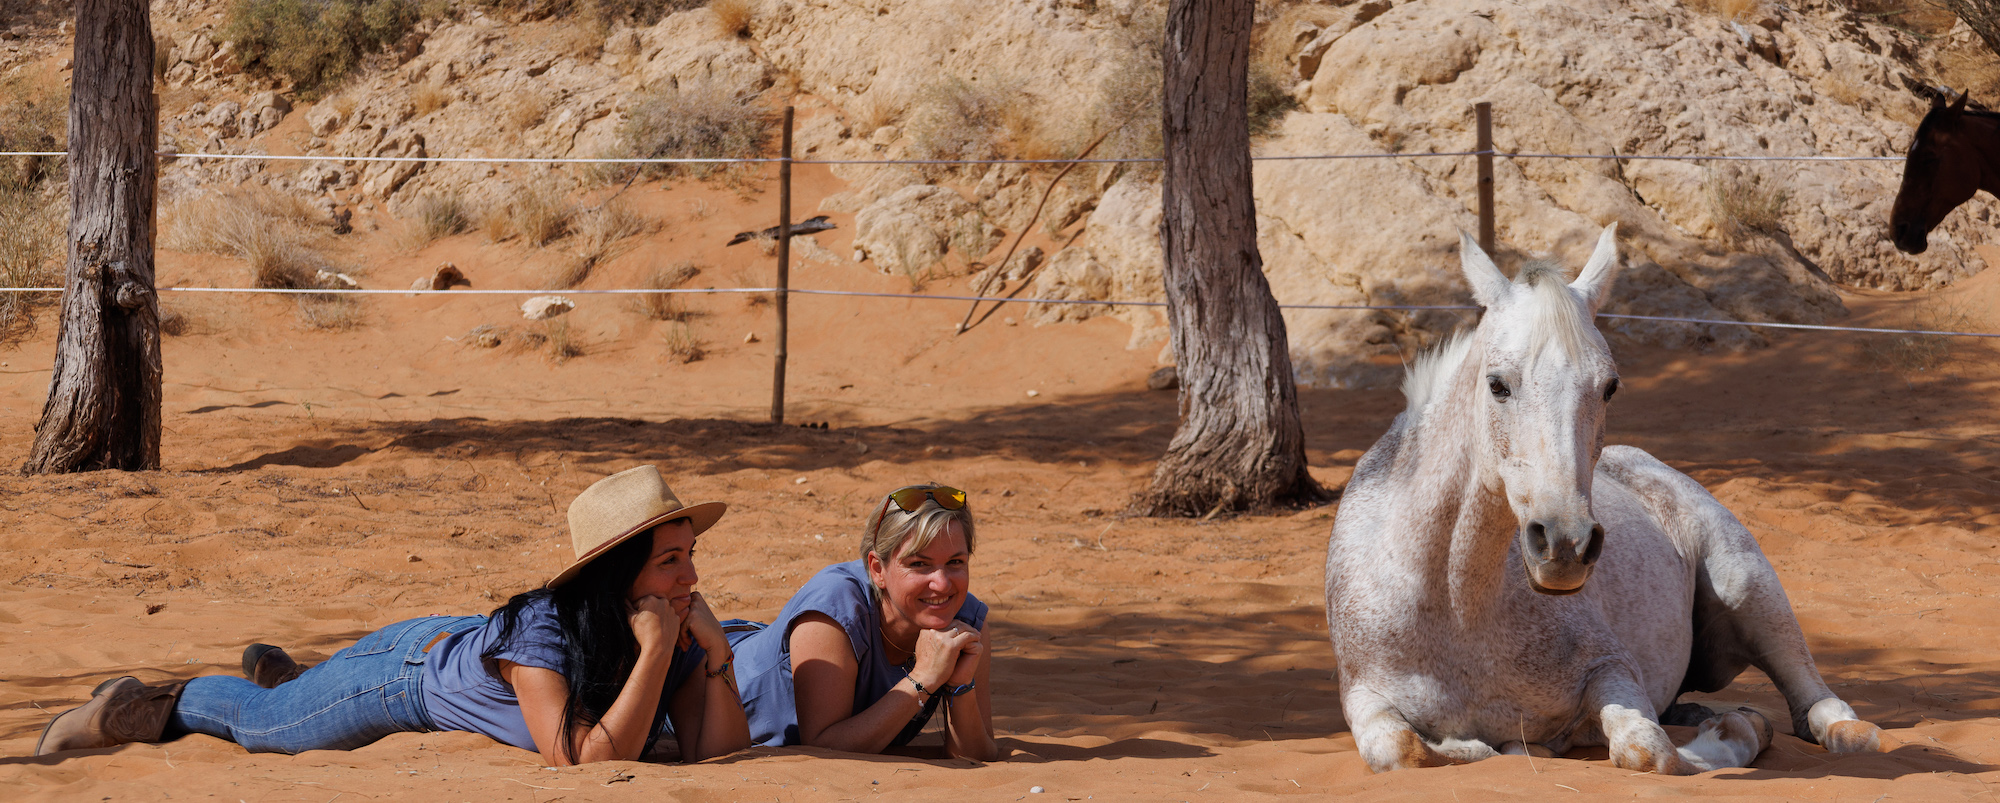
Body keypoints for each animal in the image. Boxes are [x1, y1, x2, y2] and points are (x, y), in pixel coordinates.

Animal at [1324, 225, 1885, 774]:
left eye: (1610, 387)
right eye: (1497, 385)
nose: (1565, 545)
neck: (1456, 610)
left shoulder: (1613, 669)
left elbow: (1650, 751)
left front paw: (1731, 731)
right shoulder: (1363, 697)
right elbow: (1402, 749)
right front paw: (1488, 748)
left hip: (1749, 588)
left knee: (1811, 697)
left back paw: (1840, 730)